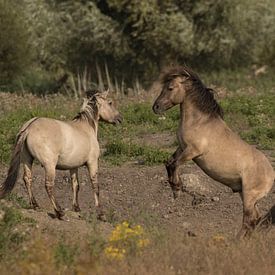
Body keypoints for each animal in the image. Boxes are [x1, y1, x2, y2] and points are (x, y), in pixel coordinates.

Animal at [0, 90, 123, 220]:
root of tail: (29, 127)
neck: (86, 128)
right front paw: (101, 214)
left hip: (27, 160)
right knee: (48, 185)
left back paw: (35, 205)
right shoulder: (92, 162)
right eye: (110, 102)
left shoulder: (74, 167)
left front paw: (77, 208)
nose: (120, 119)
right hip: (49, 165)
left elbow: (75, 185)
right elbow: (95, 186)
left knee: (27, 179)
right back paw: (59, 212)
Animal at [153, 66, 275, 238]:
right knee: (255, 218)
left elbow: (175, 164)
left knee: (249, 219)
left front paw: (177, 189)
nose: (155, 107)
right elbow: (169, 163)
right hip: (244, 194)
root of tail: (271, 174)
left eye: (170, 88)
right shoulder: (182, 148)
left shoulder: (193, 151)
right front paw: (175, 188)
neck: (199, 122)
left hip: (249, 196)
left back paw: (236, 240)